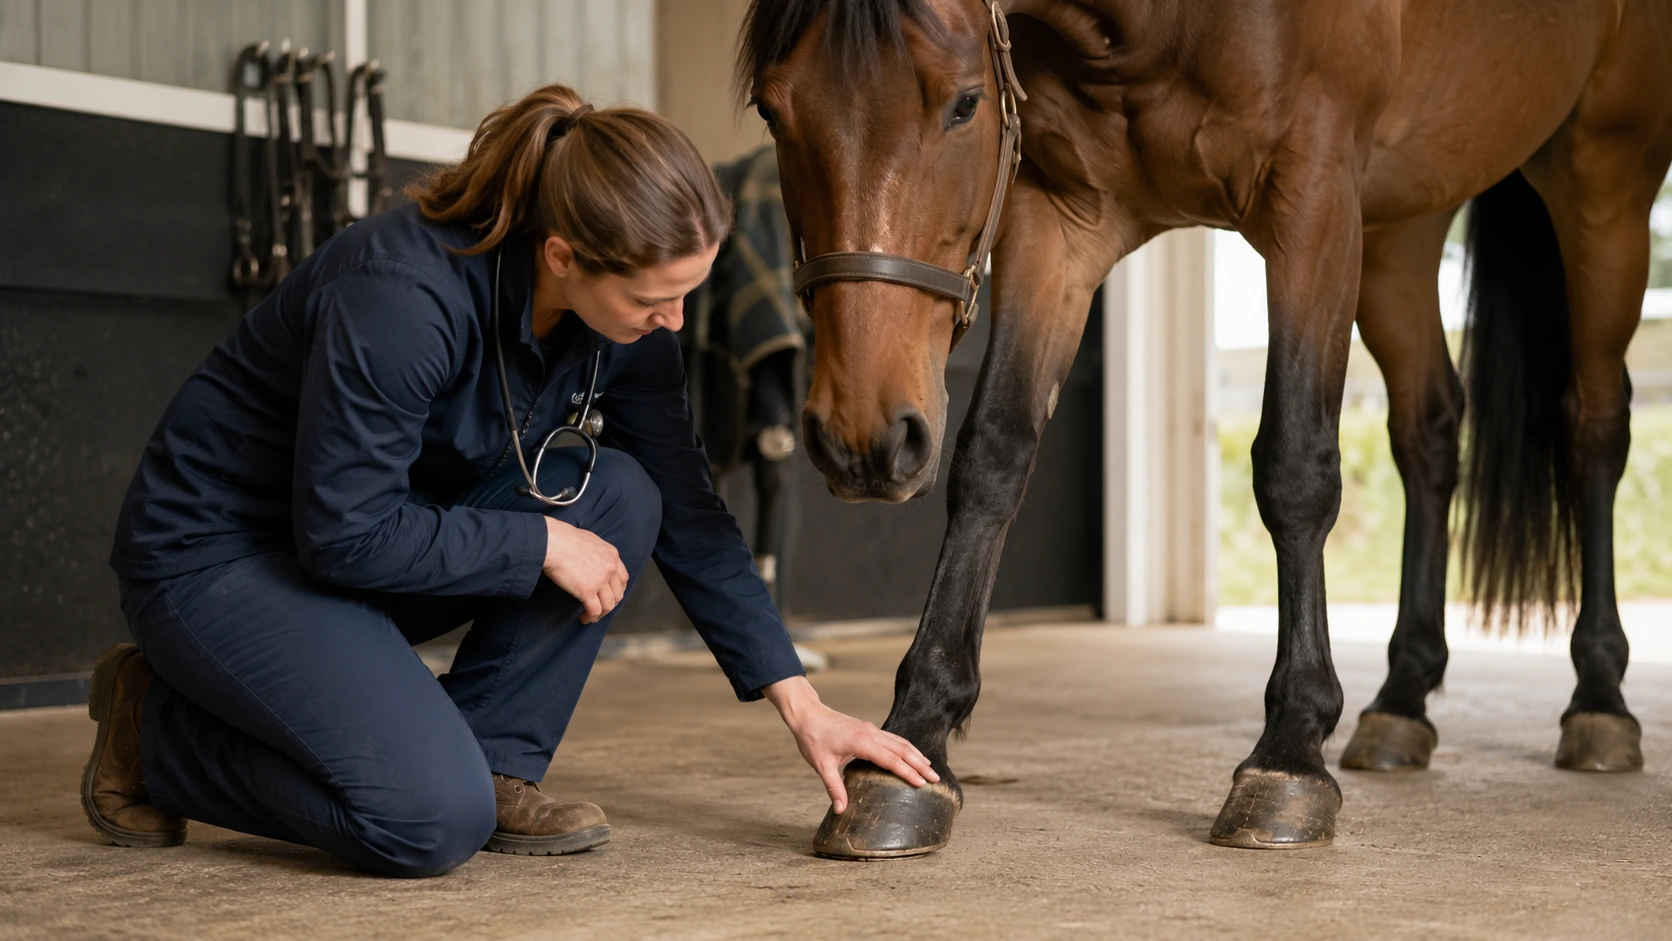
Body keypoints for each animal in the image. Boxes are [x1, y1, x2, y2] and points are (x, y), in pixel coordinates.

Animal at [738, 0, 1672, 858]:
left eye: (964, 104)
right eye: (774, 112)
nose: (861, 440)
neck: (1155, 26)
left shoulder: (1311, 200)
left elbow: (1295, 466)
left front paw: (1290, 750)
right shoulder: (1059, 222)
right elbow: (993, 456)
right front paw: (907, 747)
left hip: (1604, 182)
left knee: (1593, 426)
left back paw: (1599, 700)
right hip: (1401, 223)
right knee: (1430, 431)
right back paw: (1403, 698)